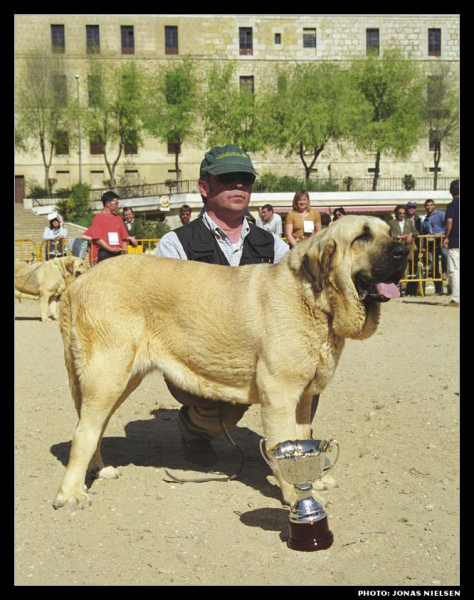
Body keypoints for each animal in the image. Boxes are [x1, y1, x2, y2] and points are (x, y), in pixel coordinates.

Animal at [51, 216, 408, 510]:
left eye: (391, 233)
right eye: (362, 236)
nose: (404, 250)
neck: (310, 297)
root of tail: (78, 284)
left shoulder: (304, 397)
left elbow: (303, 438)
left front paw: (314, 479)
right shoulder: (279, 393)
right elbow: (284, 444)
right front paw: (297, 497)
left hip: (121, 379)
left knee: (94, 426)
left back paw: (99, 470)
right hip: (108, 375)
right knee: (84, 432)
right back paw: (71, 493)